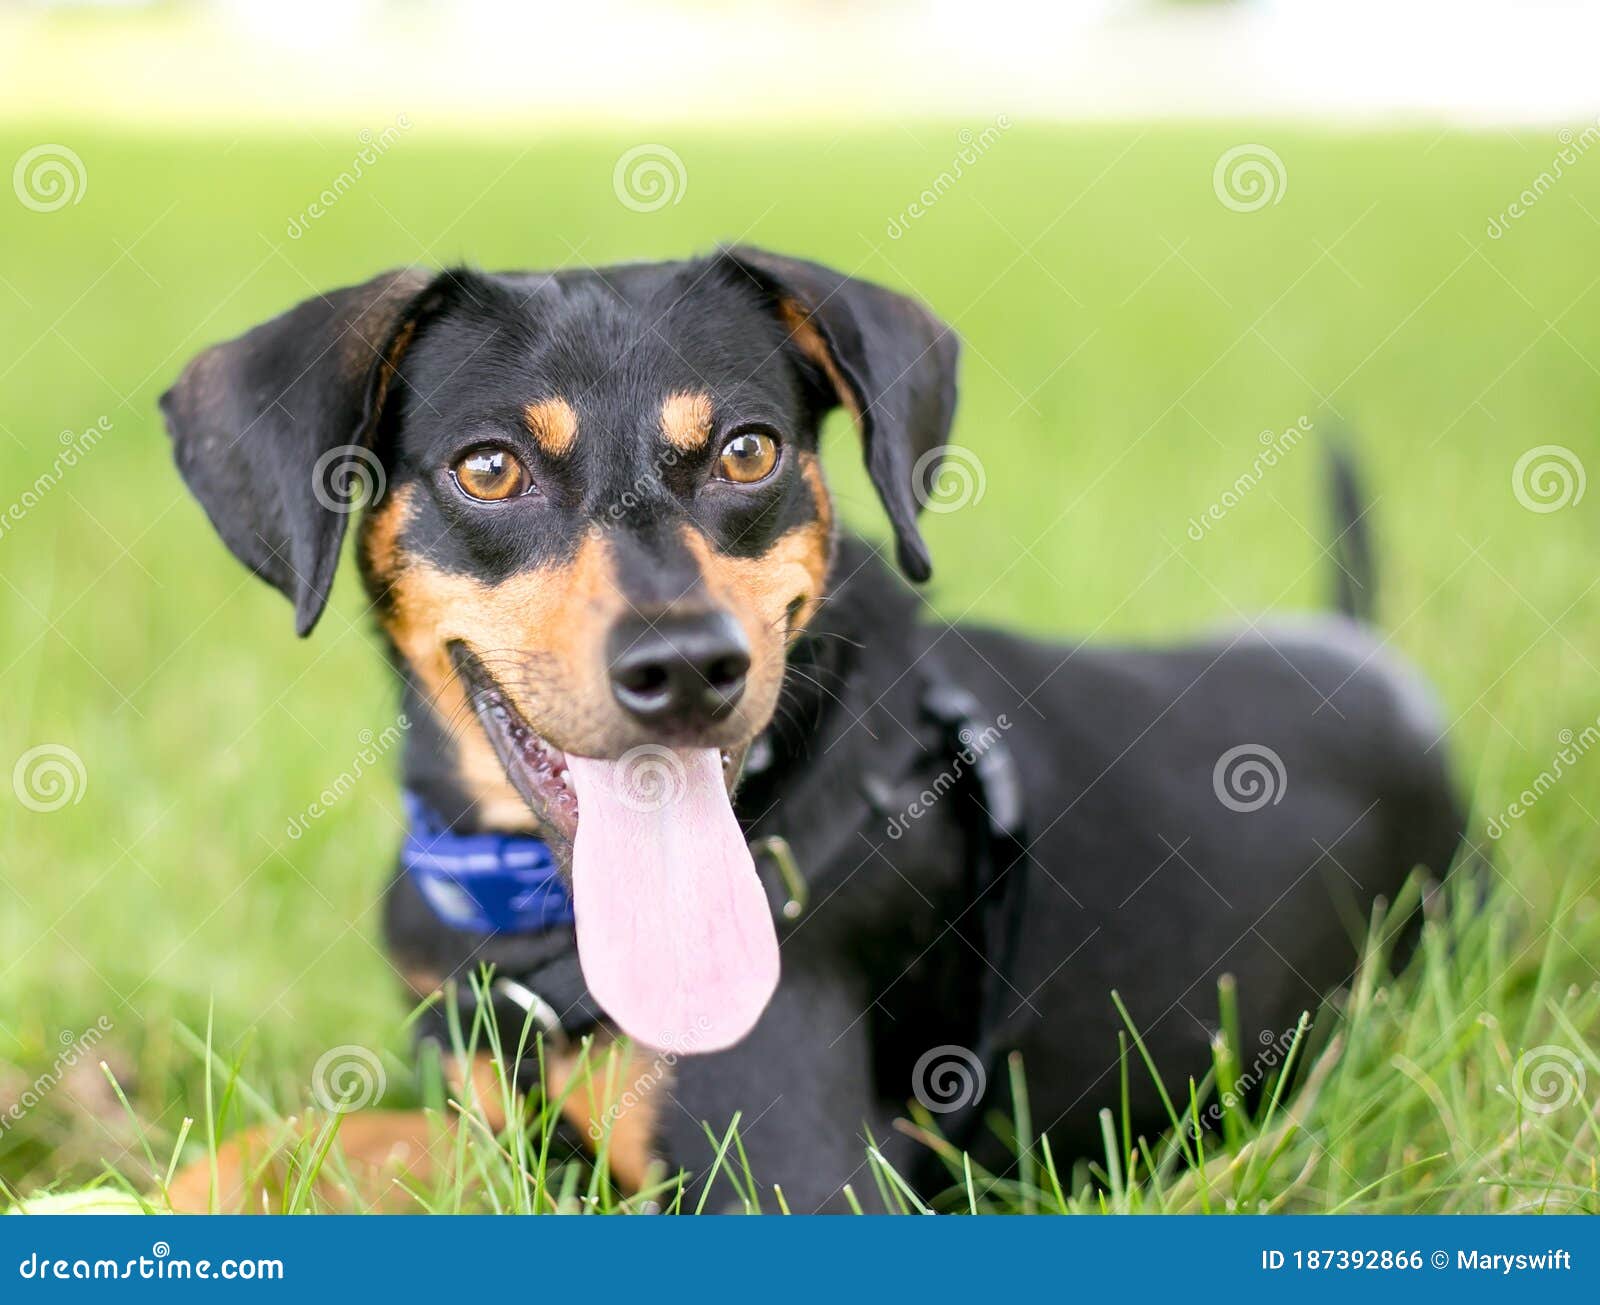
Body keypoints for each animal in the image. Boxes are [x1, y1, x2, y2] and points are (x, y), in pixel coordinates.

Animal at [162, 247, 1465, 1215]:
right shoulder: (494, 1121)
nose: (687, 668)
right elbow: (290, 1136)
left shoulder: (793, 1182)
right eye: (488, 468)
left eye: (749, 449)